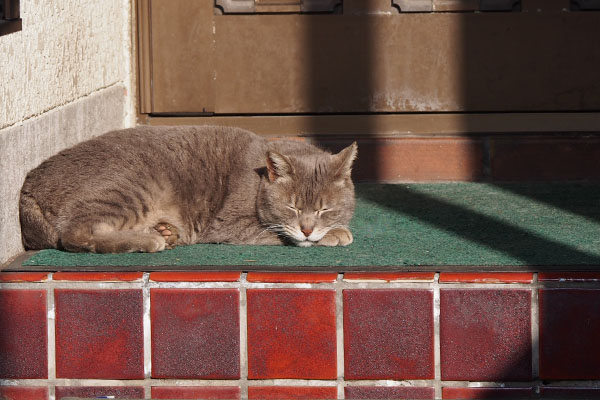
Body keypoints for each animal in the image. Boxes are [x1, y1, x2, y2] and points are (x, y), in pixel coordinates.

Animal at [17, 125, 356, 253]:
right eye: (292, 207)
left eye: (325, 209)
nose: (308, 228)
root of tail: (30, 181)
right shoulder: (229, 225)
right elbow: (279, 233)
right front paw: (335, 234)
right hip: (133, 184)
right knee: (77, 234)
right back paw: (151, 239)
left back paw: (165, 232)